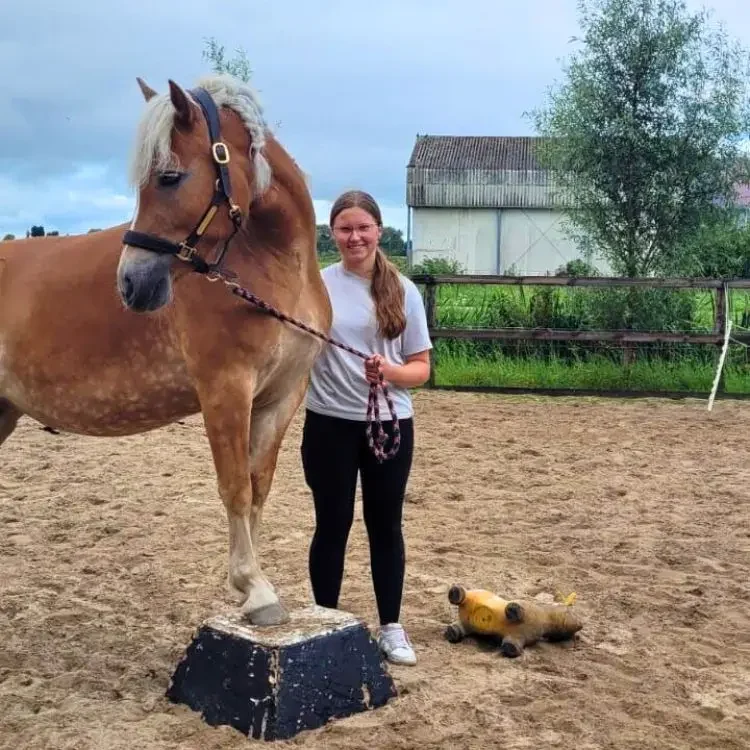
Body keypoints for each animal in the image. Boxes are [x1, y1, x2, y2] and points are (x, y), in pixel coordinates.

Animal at [0, 73, 333, 626]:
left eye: (170, 178)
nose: (131, 283)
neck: (271, 266)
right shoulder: (224, 389)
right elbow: (235, 486)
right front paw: (253, 587)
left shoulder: (281, 396)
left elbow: (258, 485)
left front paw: (253, 589)